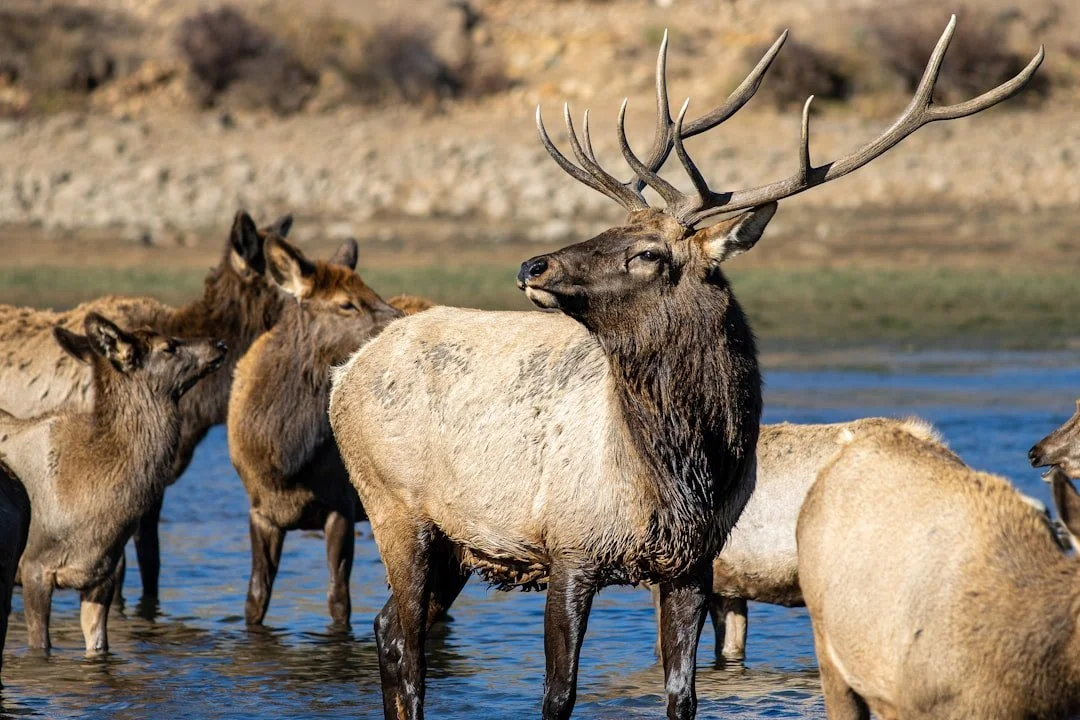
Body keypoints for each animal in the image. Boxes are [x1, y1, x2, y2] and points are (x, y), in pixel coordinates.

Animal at [3, 313, 225, 655]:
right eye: (169, 346)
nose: (219, 343)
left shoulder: (102, 575)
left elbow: (99, 646)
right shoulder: (33, 567)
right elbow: (40, 646)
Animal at [229, 235, 428, 628]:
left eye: (371, 290)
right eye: (346, 303)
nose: (402, 323)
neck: (285, 458)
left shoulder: (342, 505)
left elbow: (339, 601)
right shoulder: (260, 510)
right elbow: (255, 599)